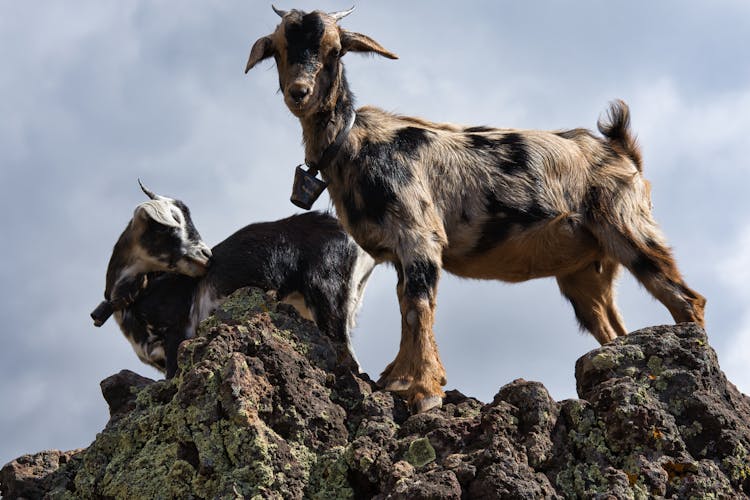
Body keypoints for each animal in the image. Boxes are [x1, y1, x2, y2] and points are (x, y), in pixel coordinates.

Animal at [244, 7, 708, 412]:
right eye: (278, 49)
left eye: (335, 49)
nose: (300, 93)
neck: (355, 144)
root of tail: (620, 150)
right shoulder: (401, 252)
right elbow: (405, 304)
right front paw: (399, 379)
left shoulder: (421, 235)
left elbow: (417, 308)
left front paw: (424, 393)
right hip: (586, 271)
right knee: (613, 329)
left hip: (629, 226)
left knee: (688, 300)